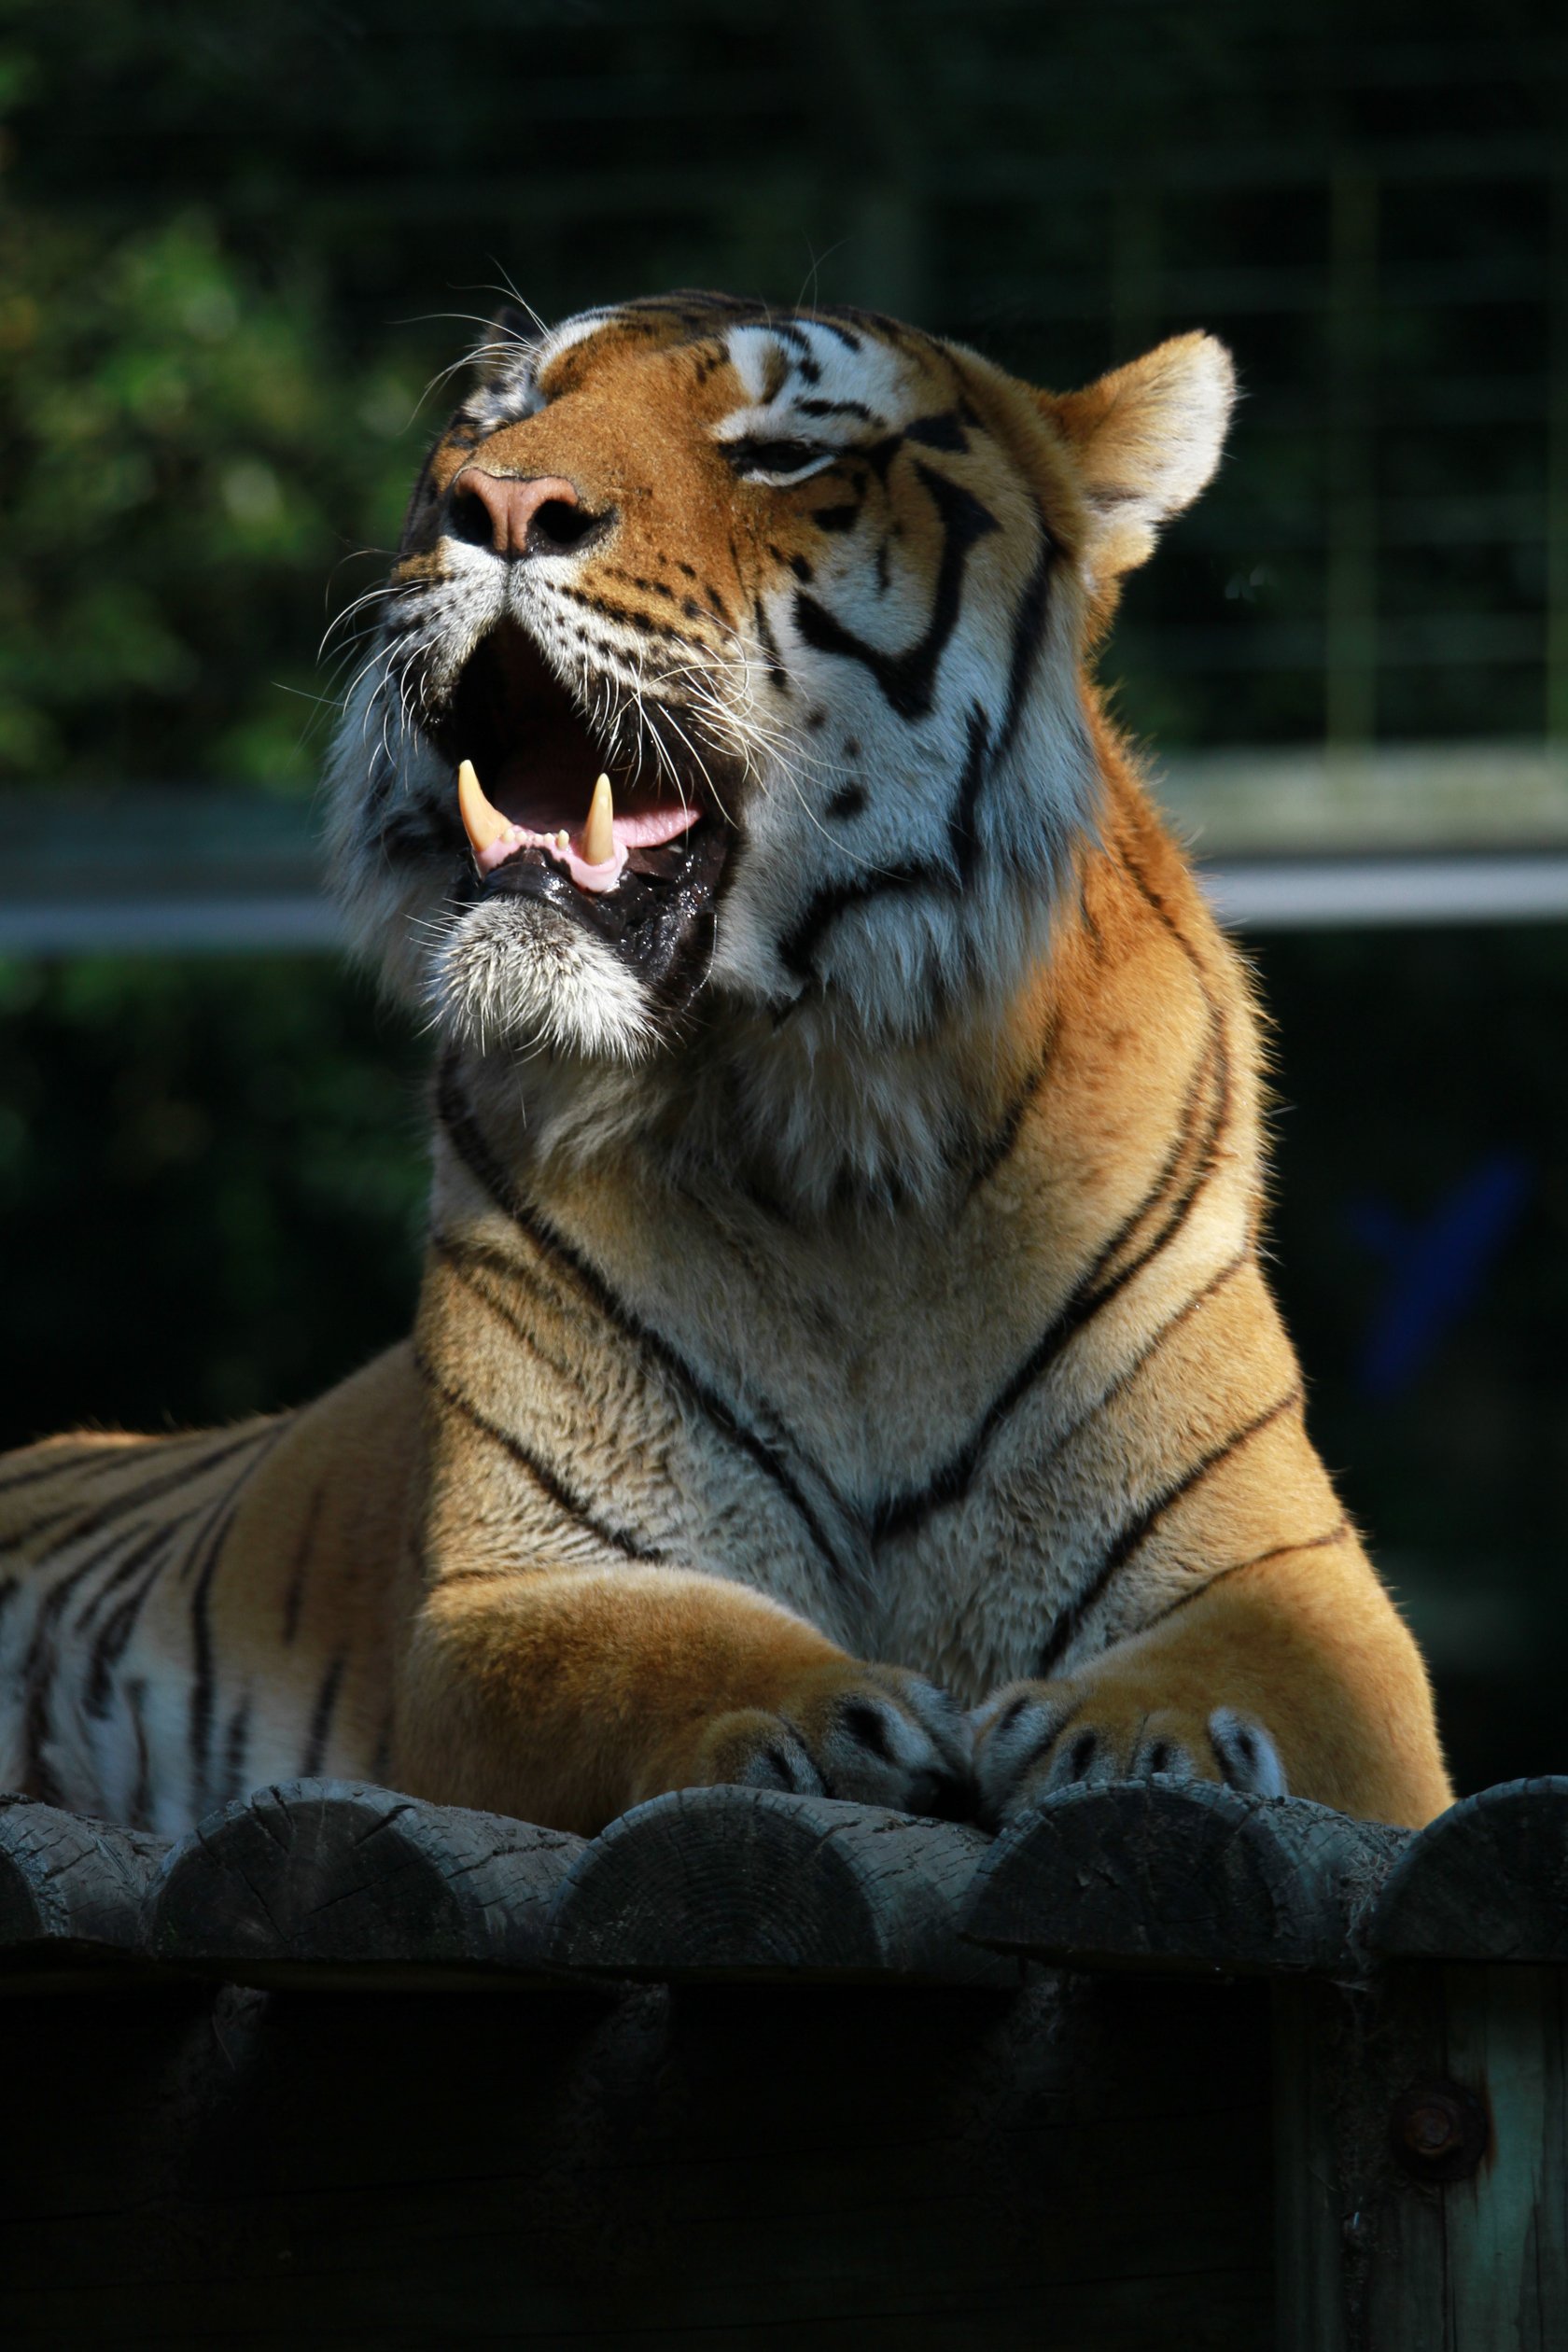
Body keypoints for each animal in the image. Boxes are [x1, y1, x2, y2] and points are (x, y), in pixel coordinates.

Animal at [0, 288, 1457, 1834]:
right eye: (500, 414)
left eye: (781, 450)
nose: (497, 501)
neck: (835, 1137)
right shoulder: (517, 1586)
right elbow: (645, 1664)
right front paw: (835, 1725)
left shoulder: (1289, 1580)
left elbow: (1276, 1685)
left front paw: (1138, 1741)